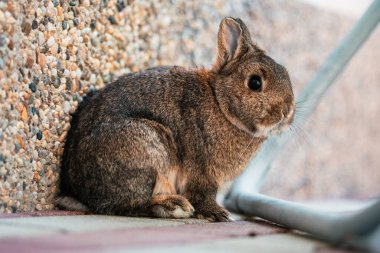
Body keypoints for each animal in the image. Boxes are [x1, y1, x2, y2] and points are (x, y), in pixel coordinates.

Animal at [56, 16, 296, 221]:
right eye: (255, 83)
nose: (287, 111)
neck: (220, 103)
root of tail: (78, 192)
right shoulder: (203, 173)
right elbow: (203, 195)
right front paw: (218, 214)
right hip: (148, 147)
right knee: (127, 205)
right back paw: (174, 206)